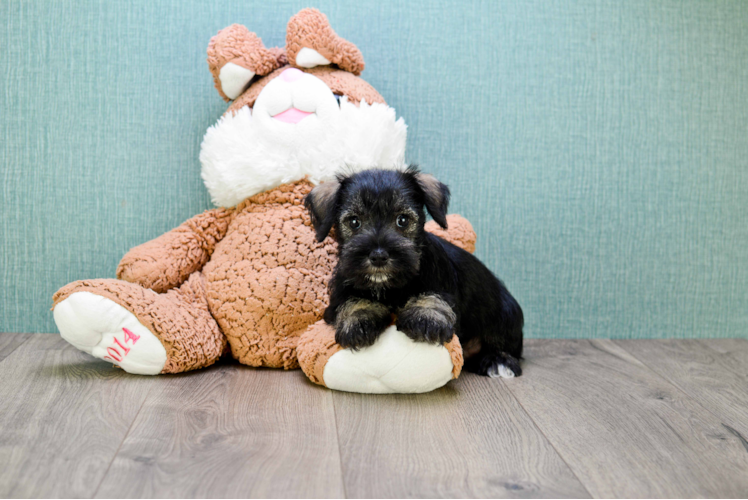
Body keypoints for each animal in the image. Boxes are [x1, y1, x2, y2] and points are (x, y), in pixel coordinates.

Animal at [304, 168, 524, 378]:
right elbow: (353, 300)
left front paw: (425, 317)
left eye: (402, 220)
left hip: (504, 314)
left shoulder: (440, 284)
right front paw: (359, 320)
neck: (389, 287)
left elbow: (431, 295)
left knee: (507, 345)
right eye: (354, 221)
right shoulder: (341, 292)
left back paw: (499, 362)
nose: (378, 256)